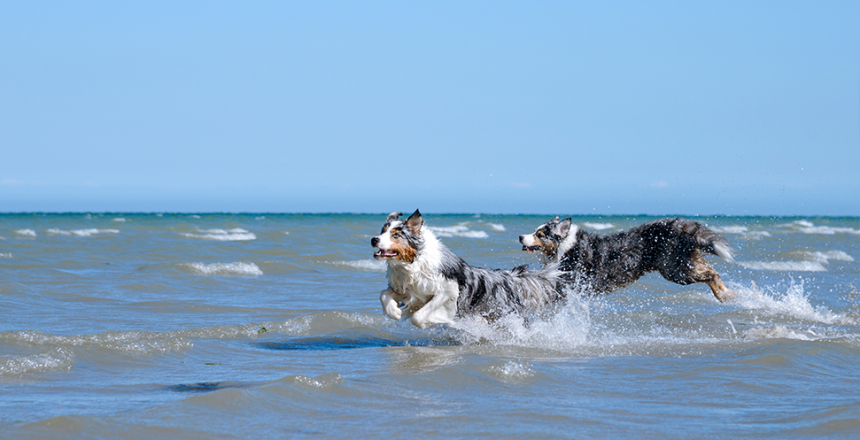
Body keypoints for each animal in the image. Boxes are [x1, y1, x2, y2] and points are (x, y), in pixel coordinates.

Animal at [372, 209, 564, 326]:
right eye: (382, 231)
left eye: (396, 235)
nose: (374, 239)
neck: (412, 264)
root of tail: (510, 276)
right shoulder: (407, 290)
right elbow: (384, 294)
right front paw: (394, 312)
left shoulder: (448, 290)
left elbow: (418, 316)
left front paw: (431, 321)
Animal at [516, 217, 732, 302]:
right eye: (535, 231)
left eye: (540, 234)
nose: (520, 236)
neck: (566, 246)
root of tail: (677, 226)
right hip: (681, 266)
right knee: (710, 271)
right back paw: (727, 293)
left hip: (675, 270)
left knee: (711, 274)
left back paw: (725, 295)